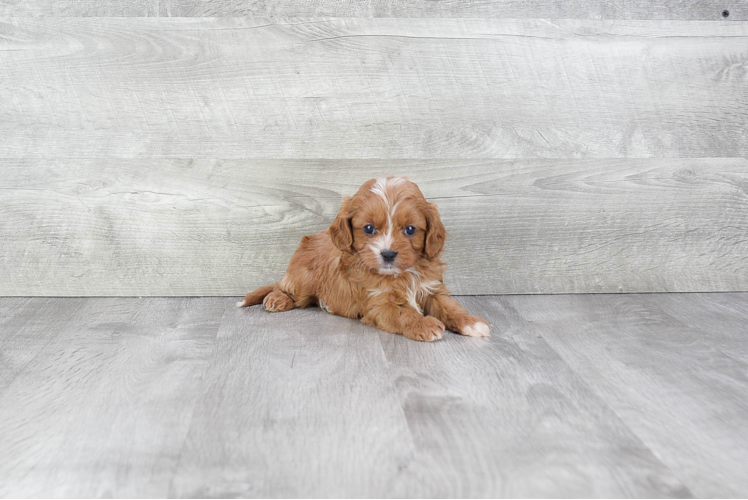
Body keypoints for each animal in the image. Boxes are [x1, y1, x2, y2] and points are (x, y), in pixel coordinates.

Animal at [237, 175, 488, 340]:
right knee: (285, 288)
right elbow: (404, 313)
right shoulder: (378, 303)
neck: (402, 275)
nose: (388, 254)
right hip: (303, 280)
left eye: (410, 229)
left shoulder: (433, 288)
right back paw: (277, 299)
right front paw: (424, 325)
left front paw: (471, 322)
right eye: (368, 228)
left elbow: (450, 307)